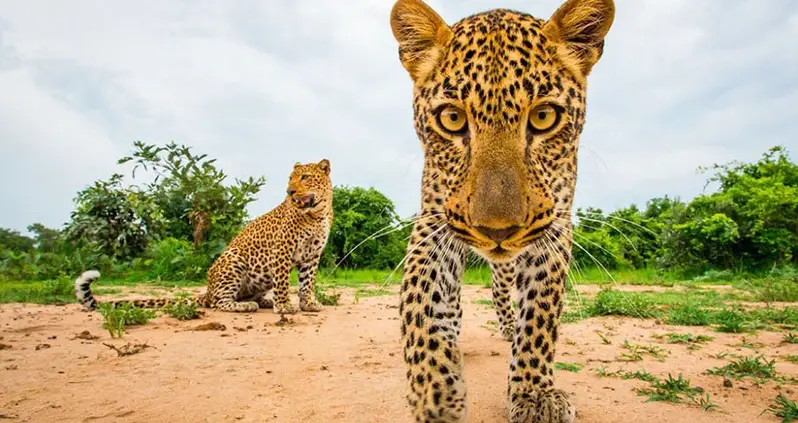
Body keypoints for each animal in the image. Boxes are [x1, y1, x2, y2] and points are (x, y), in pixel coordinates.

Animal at [75, 161, 334, 316]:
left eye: (305, 177)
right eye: (291, 179)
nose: (290, 192)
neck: (317, 214)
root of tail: (207, 290)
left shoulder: (313, 254)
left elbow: (307, 282)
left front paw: (308, 303)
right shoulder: (283, 249)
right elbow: (283, 281)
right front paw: (284, 306)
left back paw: (261, 301)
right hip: (233, 259)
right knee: (219, 302)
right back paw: (244, 305)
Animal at [390, 0, 616, 422]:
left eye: (544, 117)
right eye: (452, 118)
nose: (497, 231)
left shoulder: (554, 229)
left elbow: (540, 316)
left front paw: (534, 393)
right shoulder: (433, 222)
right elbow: (420, 301)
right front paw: (436, 391)